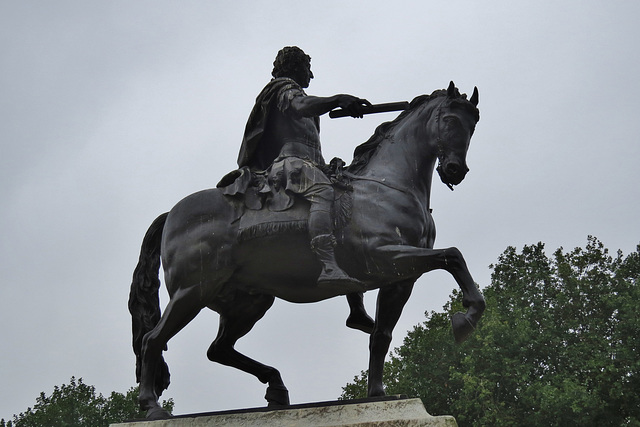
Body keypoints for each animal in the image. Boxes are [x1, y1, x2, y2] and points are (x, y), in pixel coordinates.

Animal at [127, 82, 482, 420]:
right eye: (451, 120)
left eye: (473, 124)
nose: (455, 170)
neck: (386, 185)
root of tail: (171, 214)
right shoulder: (385, 255)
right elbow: (453, 255)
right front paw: (467, 317)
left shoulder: (400, 278)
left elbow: (381, 335)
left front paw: (378, 393)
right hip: (193, 291)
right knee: (152, 340)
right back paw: (152, 407)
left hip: (248, 301)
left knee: (218, 349)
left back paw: (277, 388)